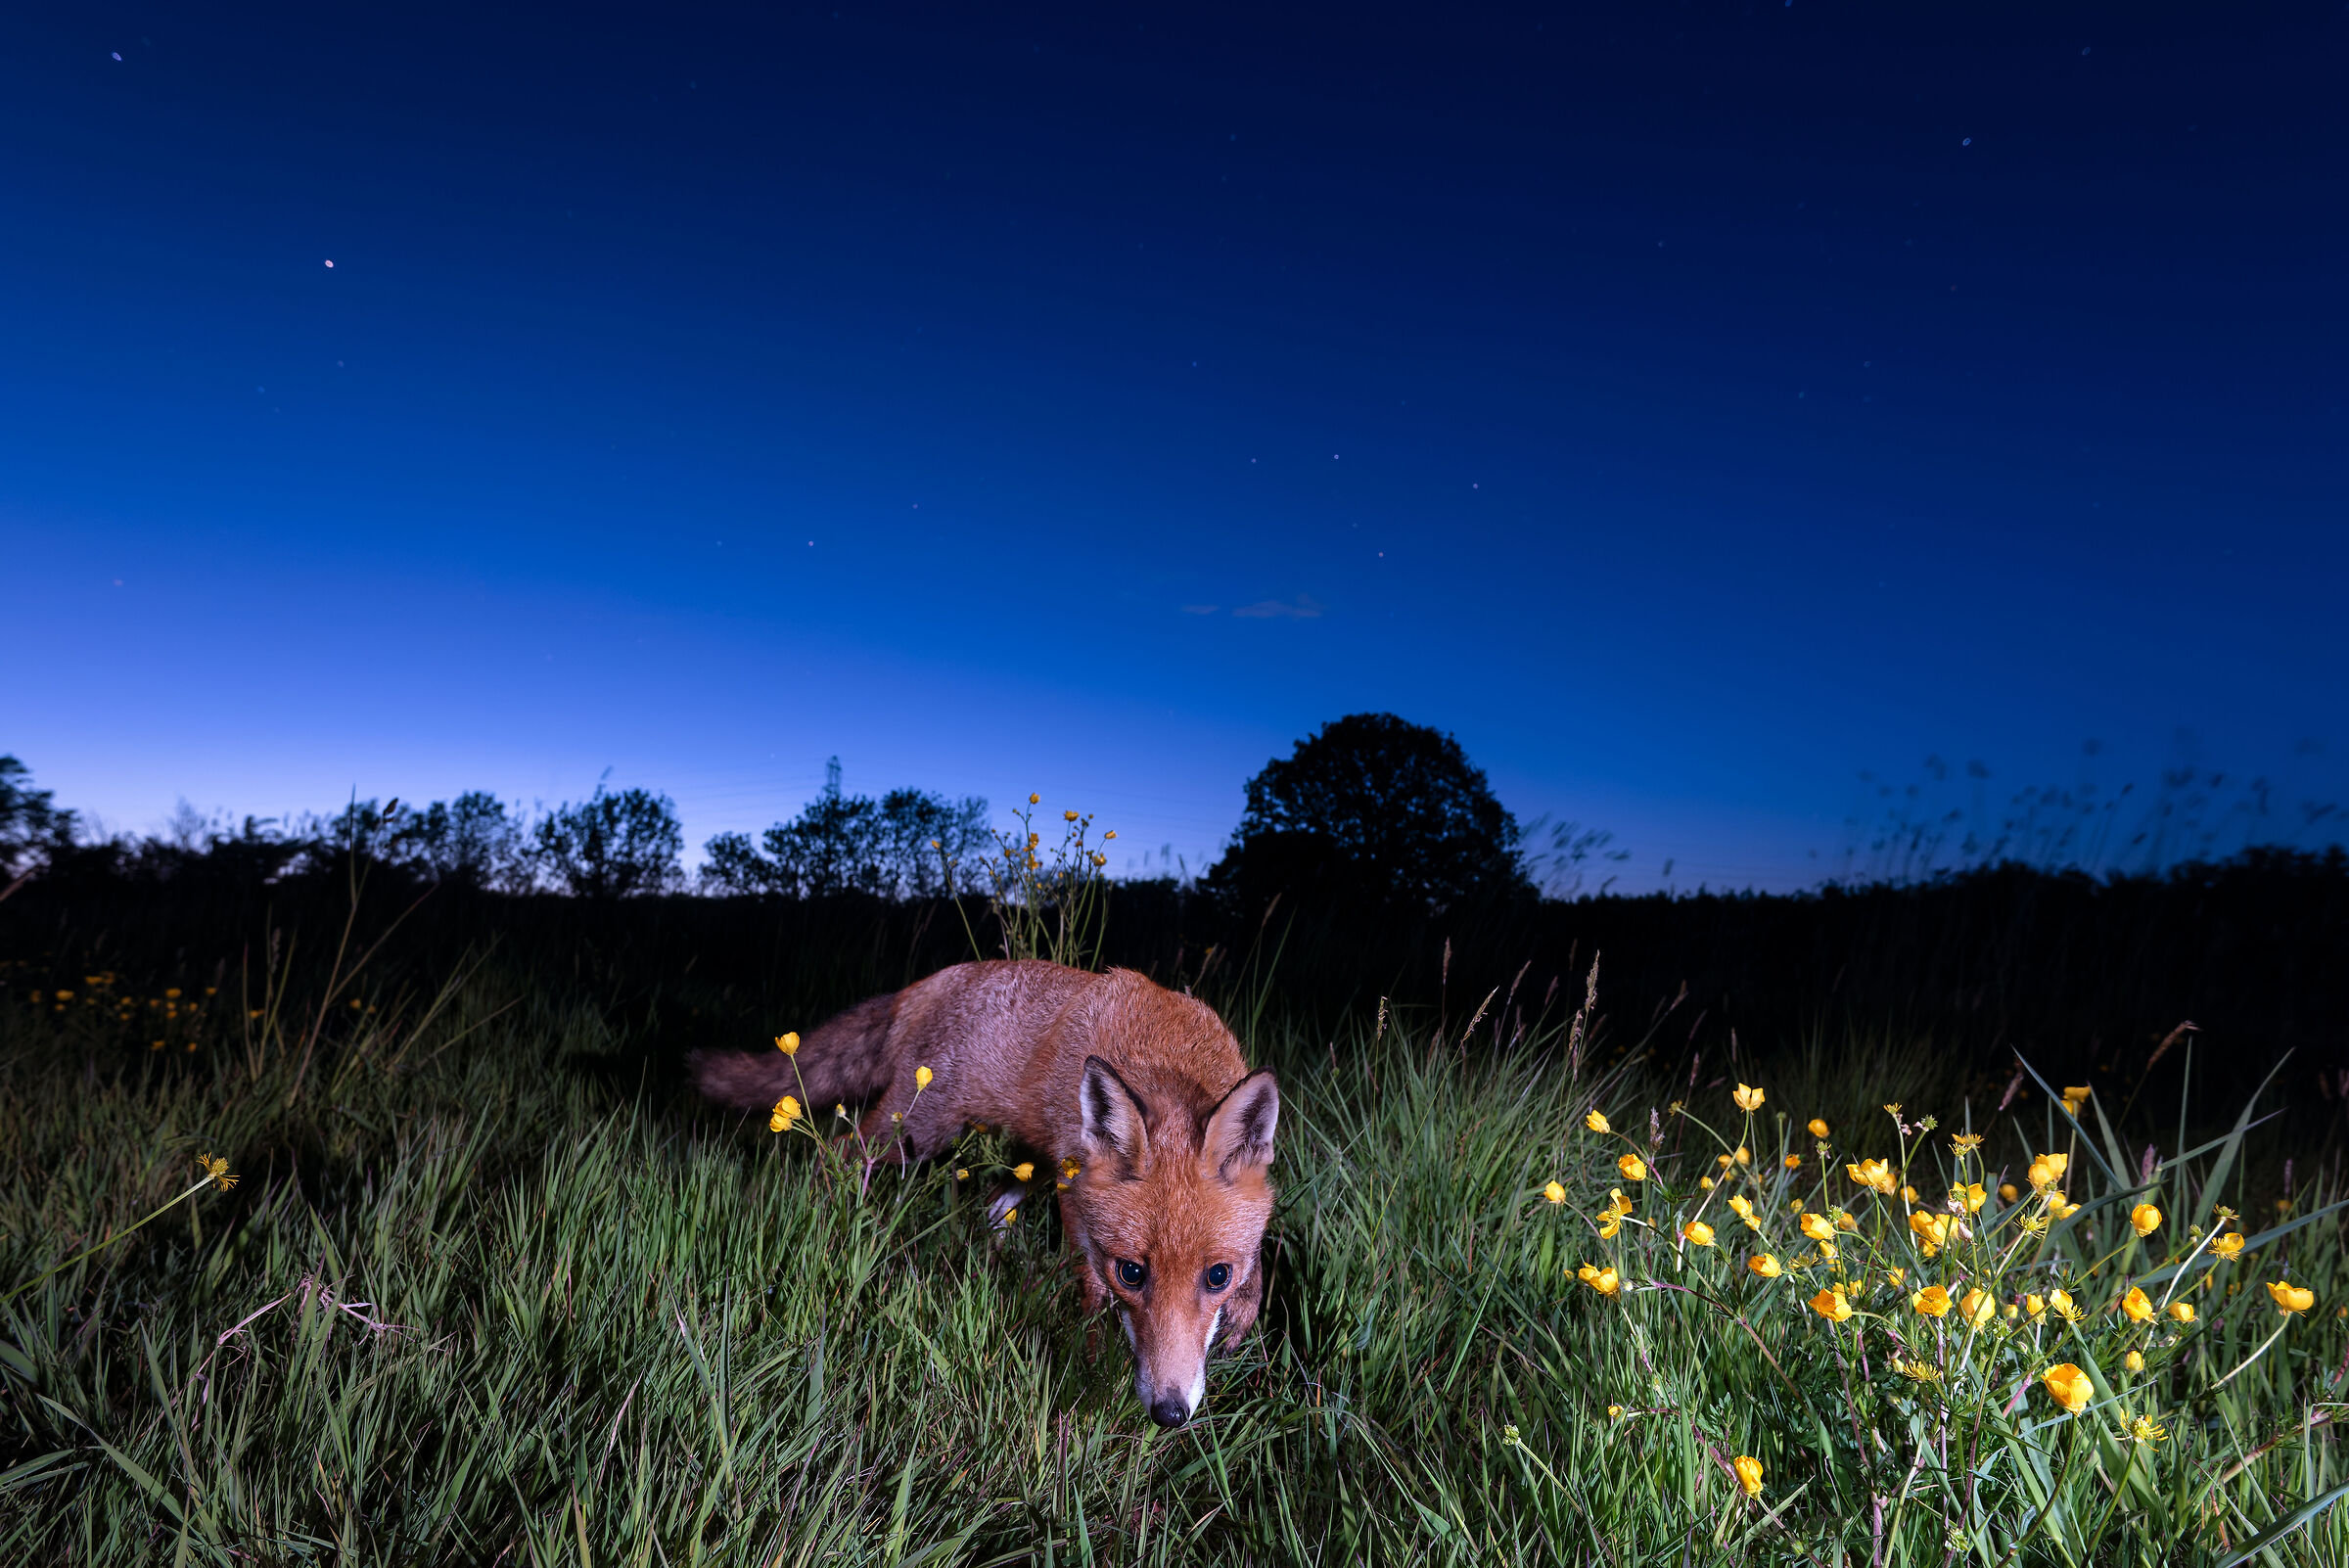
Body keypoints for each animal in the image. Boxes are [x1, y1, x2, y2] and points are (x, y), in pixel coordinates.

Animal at [690, 959, 1279, 1429]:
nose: (1169, 1413)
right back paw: (824, 1220)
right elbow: (1089, 1290)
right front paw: (1091, 1364)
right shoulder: (1075, 1193)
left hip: (1021, 1159)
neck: (1163, 1049)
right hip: (914, 1132)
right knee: (832, 1154)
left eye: (1216, 1275)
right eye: (1131, 1272)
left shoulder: (1072, 1173)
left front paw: (1242, 1315)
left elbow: (1256, 1262)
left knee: (995, 1205)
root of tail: (929, 981)